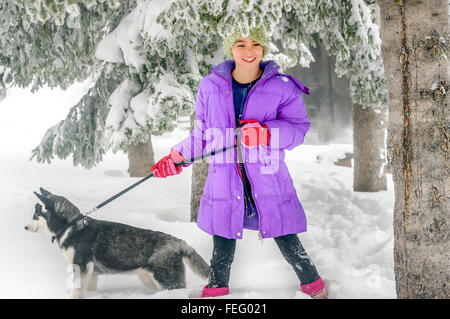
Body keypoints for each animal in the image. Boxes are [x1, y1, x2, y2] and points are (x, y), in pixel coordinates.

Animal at [25, 189, 211, 298]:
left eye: (35, 215)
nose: (25, 227)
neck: (71, 226)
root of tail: (179, 242)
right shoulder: (90, 273)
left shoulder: (81, 266)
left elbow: (76, 291)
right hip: (150, 279)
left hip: (167, 281)